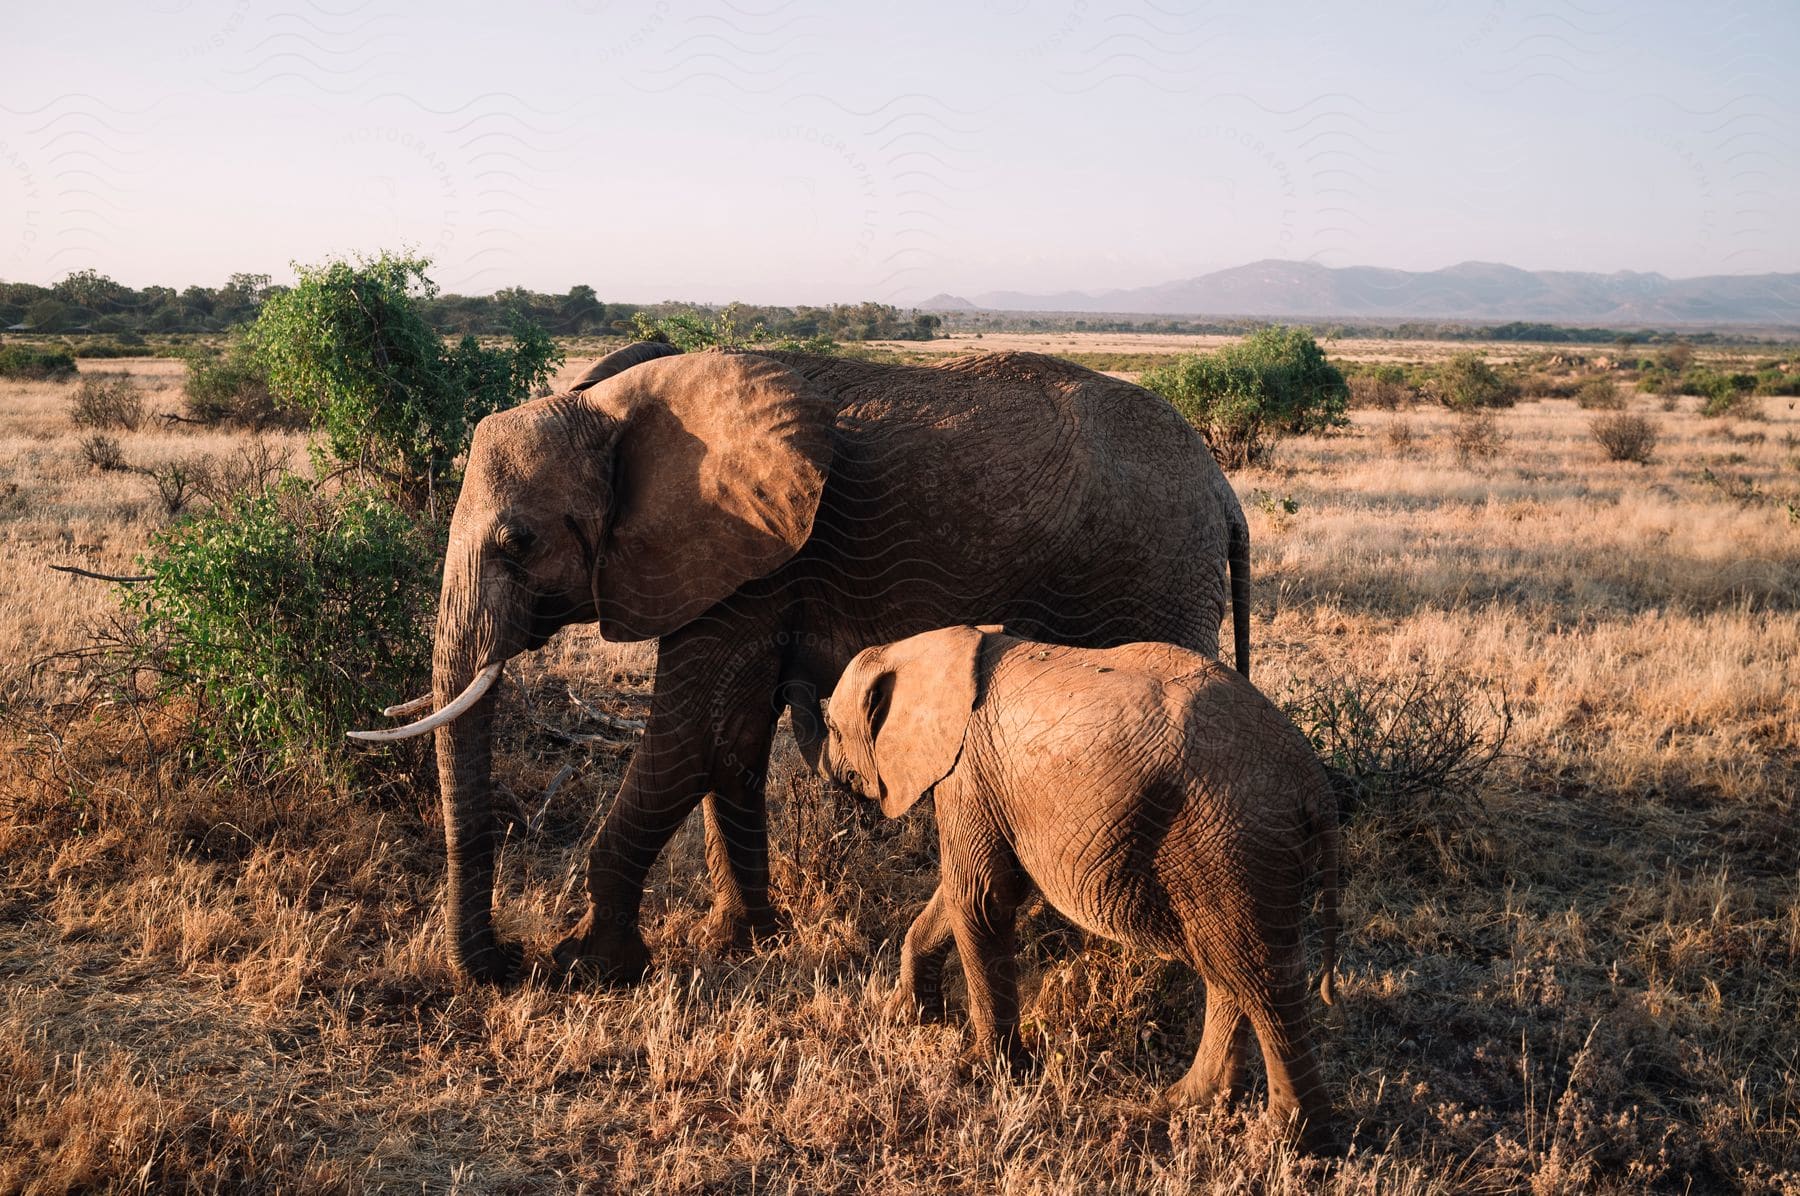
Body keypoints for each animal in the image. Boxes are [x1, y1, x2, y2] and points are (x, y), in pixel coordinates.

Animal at [351, 340, 1252, 987]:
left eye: (519, 541)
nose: (506, 964)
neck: (614, 410)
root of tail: (1222, 489)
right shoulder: (742, 562)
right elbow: (730, 741)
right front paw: (740, 941)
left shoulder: (754, 561)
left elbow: (688, 739)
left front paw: (590, 967)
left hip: (1150, 574)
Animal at [817, 626, 1339, 1152]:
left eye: (833, 727)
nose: (826, 769)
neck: (935, 647)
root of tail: (1314, 783)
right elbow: (965, 894)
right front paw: (906, 1017)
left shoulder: (967, 771)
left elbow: (980, 898)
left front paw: (990, 1074)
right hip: (1226, 854)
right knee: (1227, 968)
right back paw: (1186, 1102)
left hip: (1229, 841)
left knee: (1260, 978)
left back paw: (1286, 1141)